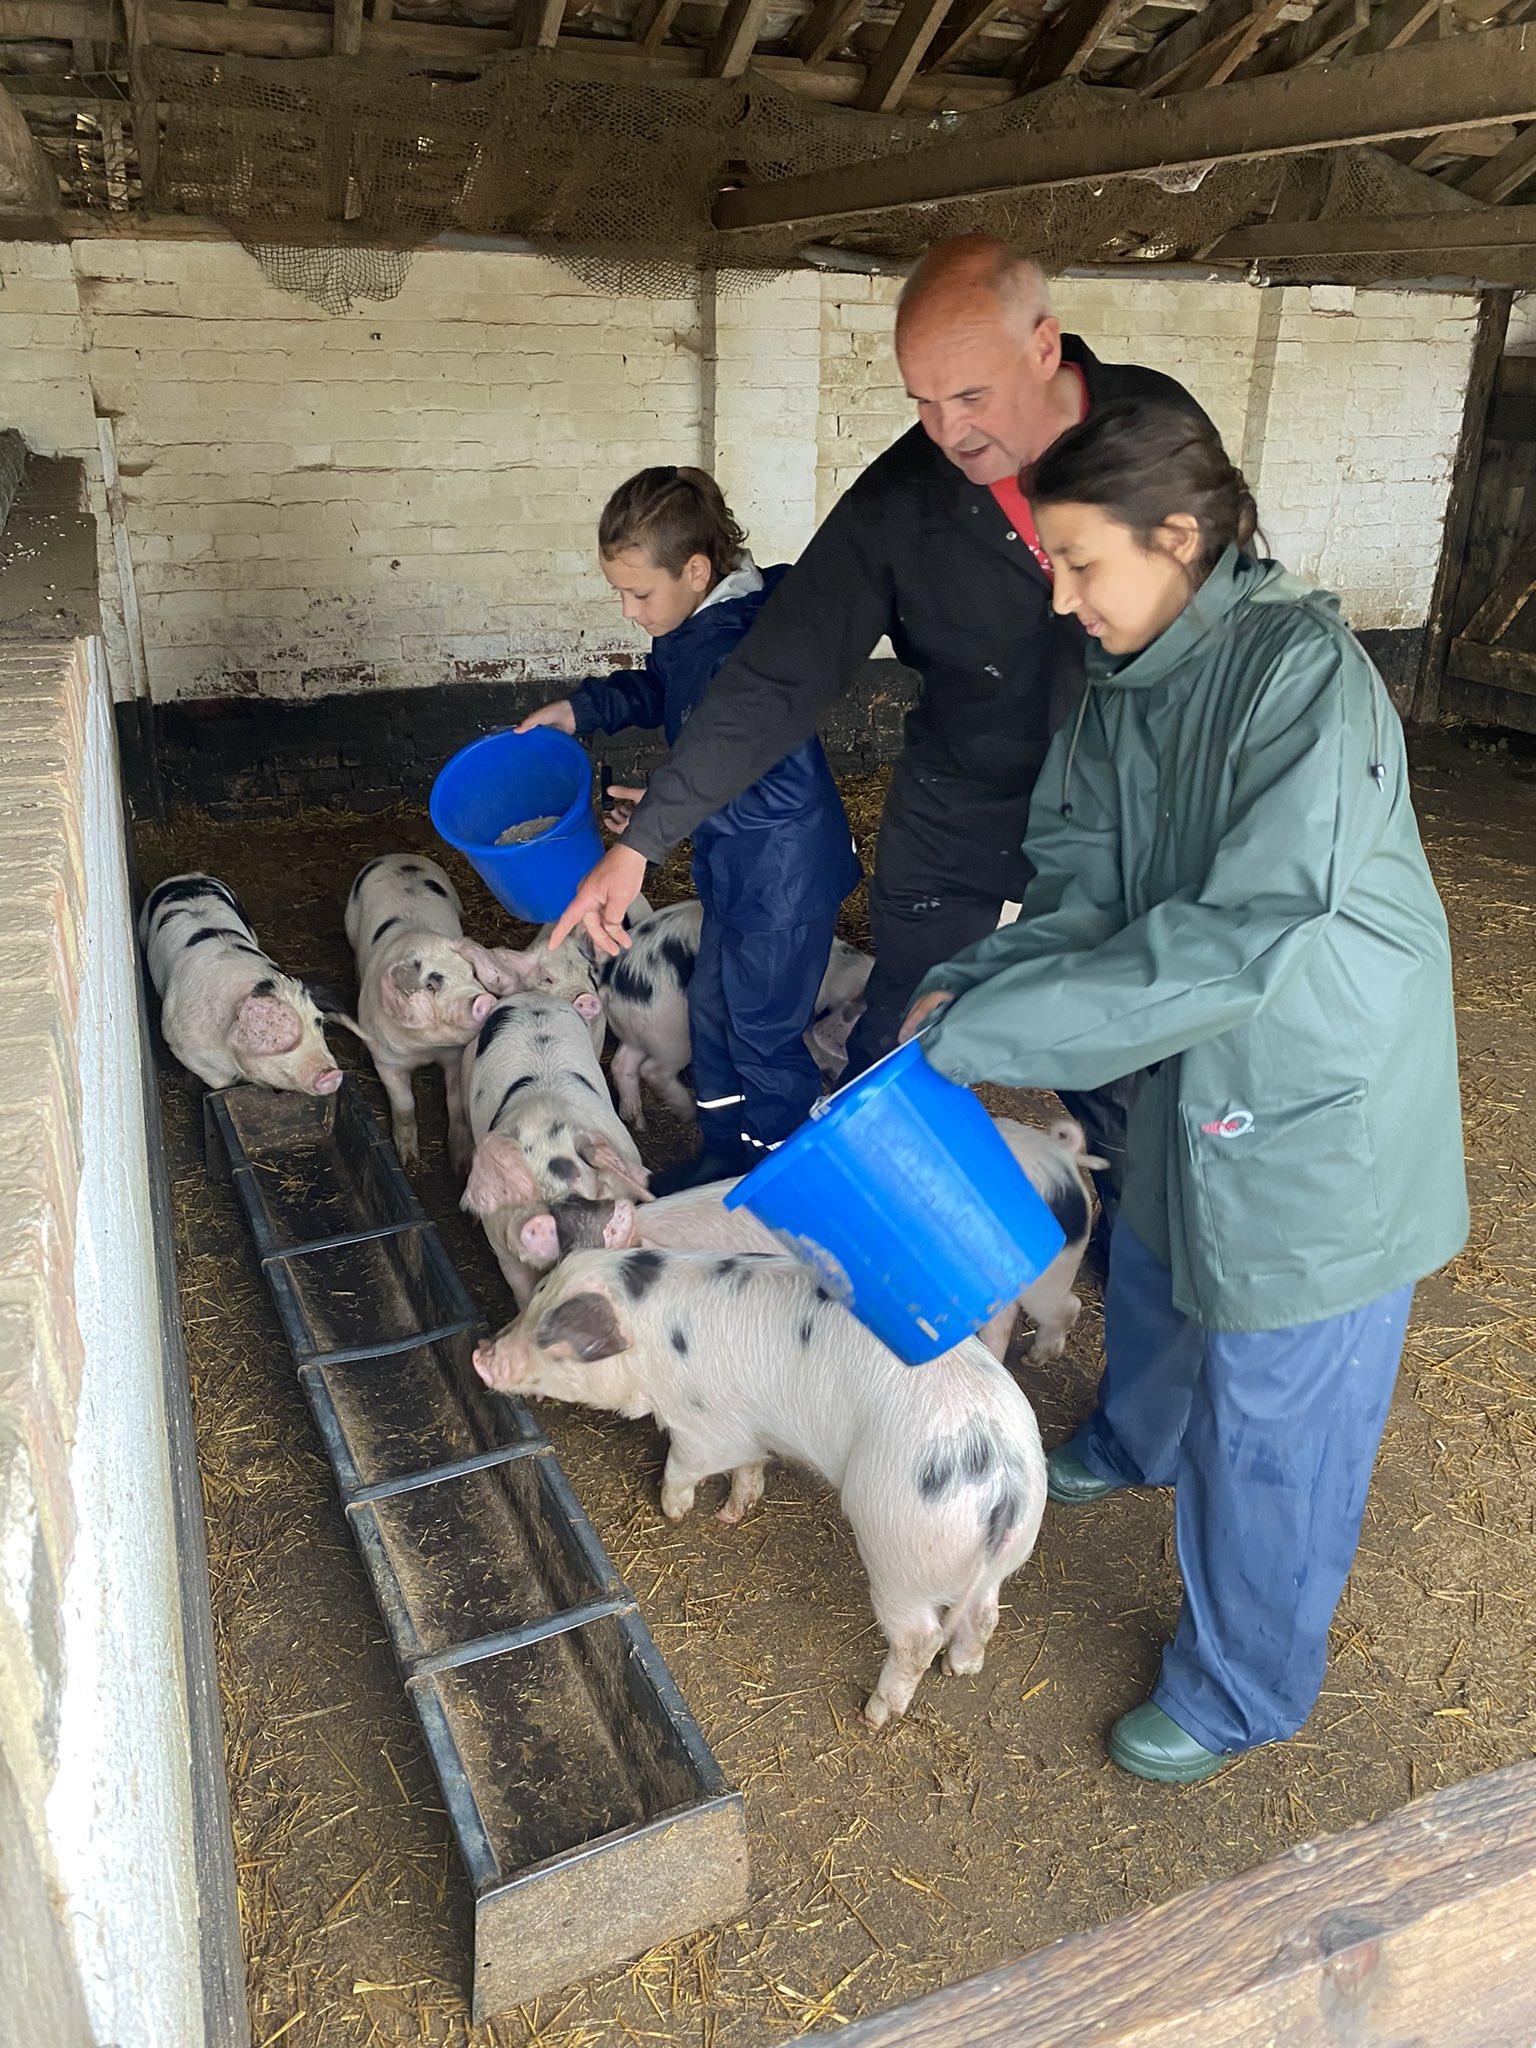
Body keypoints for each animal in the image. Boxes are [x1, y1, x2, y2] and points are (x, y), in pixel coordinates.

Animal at [139, 872, 346, 1096]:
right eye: (277, 1038)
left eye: (319, 1022)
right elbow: (219, 1082)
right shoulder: (180, 1043)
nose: (332, 1074)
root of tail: (188, 875)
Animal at [344, 853, 503, 1169]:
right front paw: (407, 1160)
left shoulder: (454, 1056)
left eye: (471, 972)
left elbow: (455, 1104)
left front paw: (460, 1162)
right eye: (431, 985)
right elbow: (404, 1105)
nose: (483, 999)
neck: (423, 1049)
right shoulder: (387, 1061)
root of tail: (397, 856)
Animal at [460, 992, 649, 1306]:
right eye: (512, 1184)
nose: (541, 1220)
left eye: (576, 1179)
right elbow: (522, 1289)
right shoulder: (501, 1246)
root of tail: (531, 996)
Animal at [473, 1248, 1047, 1728]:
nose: (481, 1353)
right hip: (997, 1557)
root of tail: (1005, 1484)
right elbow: (749, 1468)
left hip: (900, 1553)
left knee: (918, 1638)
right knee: (986, 1613)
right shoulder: (748, 1431)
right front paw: (730, 1514)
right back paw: (961, 1670)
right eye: (537, 1294)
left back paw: (874, 1715)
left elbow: (683, 1465)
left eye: (554, 1340)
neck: (652, 1338)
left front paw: (674, 1512)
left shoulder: (705, 1428)